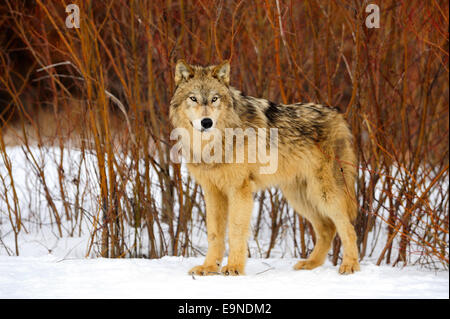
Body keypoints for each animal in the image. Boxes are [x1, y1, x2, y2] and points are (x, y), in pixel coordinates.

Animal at [171, 60, 360, 276]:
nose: (207, 122)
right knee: (327, 229)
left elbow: (235, 231)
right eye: (193, 98)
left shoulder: (239, 190)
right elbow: (214, 233)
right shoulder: (212, 192)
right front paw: (209, 267)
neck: (214, 143)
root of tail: (339, 115)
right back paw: (310, 264)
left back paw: (350, 265)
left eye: (214, 99)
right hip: (299, 197)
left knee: (348, 228)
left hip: (325, 194)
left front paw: (234, 268)